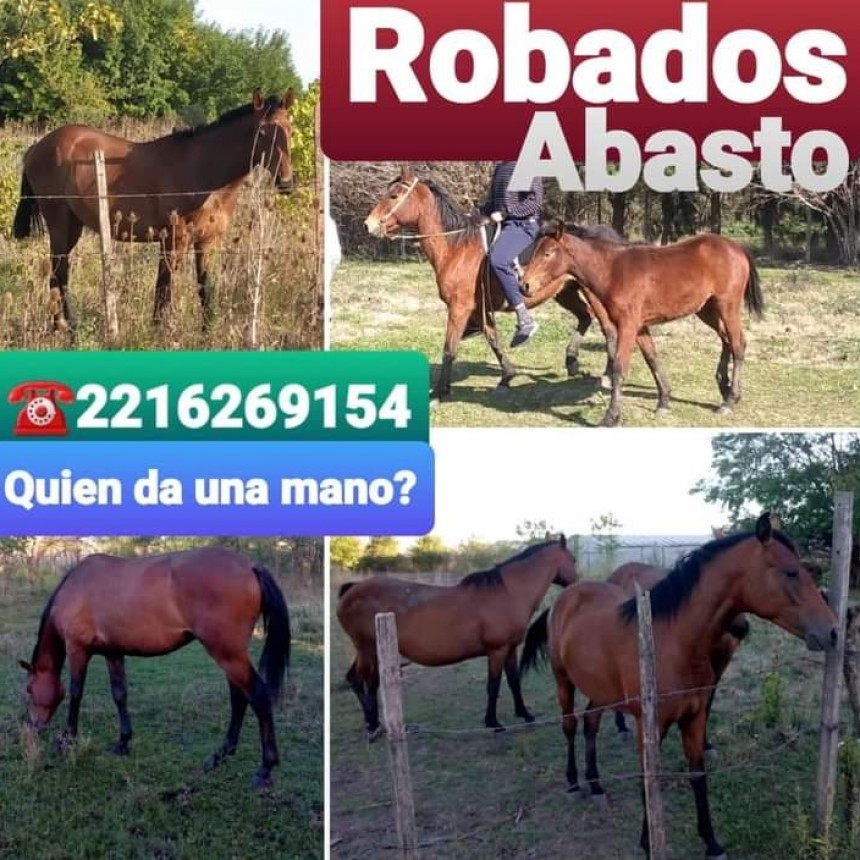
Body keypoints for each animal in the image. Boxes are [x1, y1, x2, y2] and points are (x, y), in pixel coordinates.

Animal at [13, 90, 295, 339]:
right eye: (262, 133)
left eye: (290, 130)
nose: (287, 183)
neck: (202, 171)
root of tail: (37, 147)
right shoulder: (173, 240)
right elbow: (164, 289)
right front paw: (160, 333)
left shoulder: (208, 242)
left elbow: (204, 287)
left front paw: (206, 333)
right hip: (59, 223)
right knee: (60, 273)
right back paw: (71, 331)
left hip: (73, 226)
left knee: (56, 275)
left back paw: (57, 328)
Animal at [18, 547, 291, 788]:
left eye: (29, 690)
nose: (34, 726)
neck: (76, 587)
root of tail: (250, 566)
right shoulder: (113, 653)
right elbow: (120, 694)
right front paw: (123, 742)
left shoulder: (78, 649)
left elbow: (76, 693)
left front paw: (66, 740)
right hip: (230, 655)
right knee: (239, 698)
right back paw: (219, 756)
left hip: (228, 654)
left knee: (257, 696)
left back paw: (264, 769)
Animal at [336, 536, 578, 738]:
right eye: (573, 559)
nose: (576, 584)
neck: (509, 592)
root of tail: (352, 589)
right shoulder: (497, 651)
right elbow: (494, 685)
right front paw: (493, 723)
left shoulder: (510, 648)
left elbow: (514, 681)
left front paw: (525, 714)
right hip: (368, 651)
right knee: (364, 681)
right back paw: (373, 725)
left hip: (368, 651)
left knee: (358, 680)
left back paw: (374, 723)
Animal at [363, 167, 621, 401]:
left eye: (394, 196)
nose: (368, 225)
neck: (457, 248)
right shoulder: (479, 309)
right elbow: (492, 337)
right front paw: (507, 376)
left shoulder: (459, 308)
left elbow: (449, 348)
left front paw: (439, 392)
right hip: (565, 293)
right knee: (585, 317)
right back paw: (572, 362)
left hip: (592, 294)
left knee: (608, 329)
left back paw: (606, 375)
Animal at [522, 221, 764, 426]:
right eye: (534, 251)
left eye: (547, 253)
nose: (524, 285)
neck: (613, 271)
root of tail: (737, 248)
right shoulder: (640, 327)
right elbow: (652, 359)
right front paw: (663, 402)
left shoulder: (627, 325)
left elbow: (619, 368)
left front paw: (611, 417)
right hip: (707, 310)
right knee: (726, 339)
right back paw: (724, 387)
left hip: (727, 306)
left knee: (738, 344)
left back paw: (729, 400)